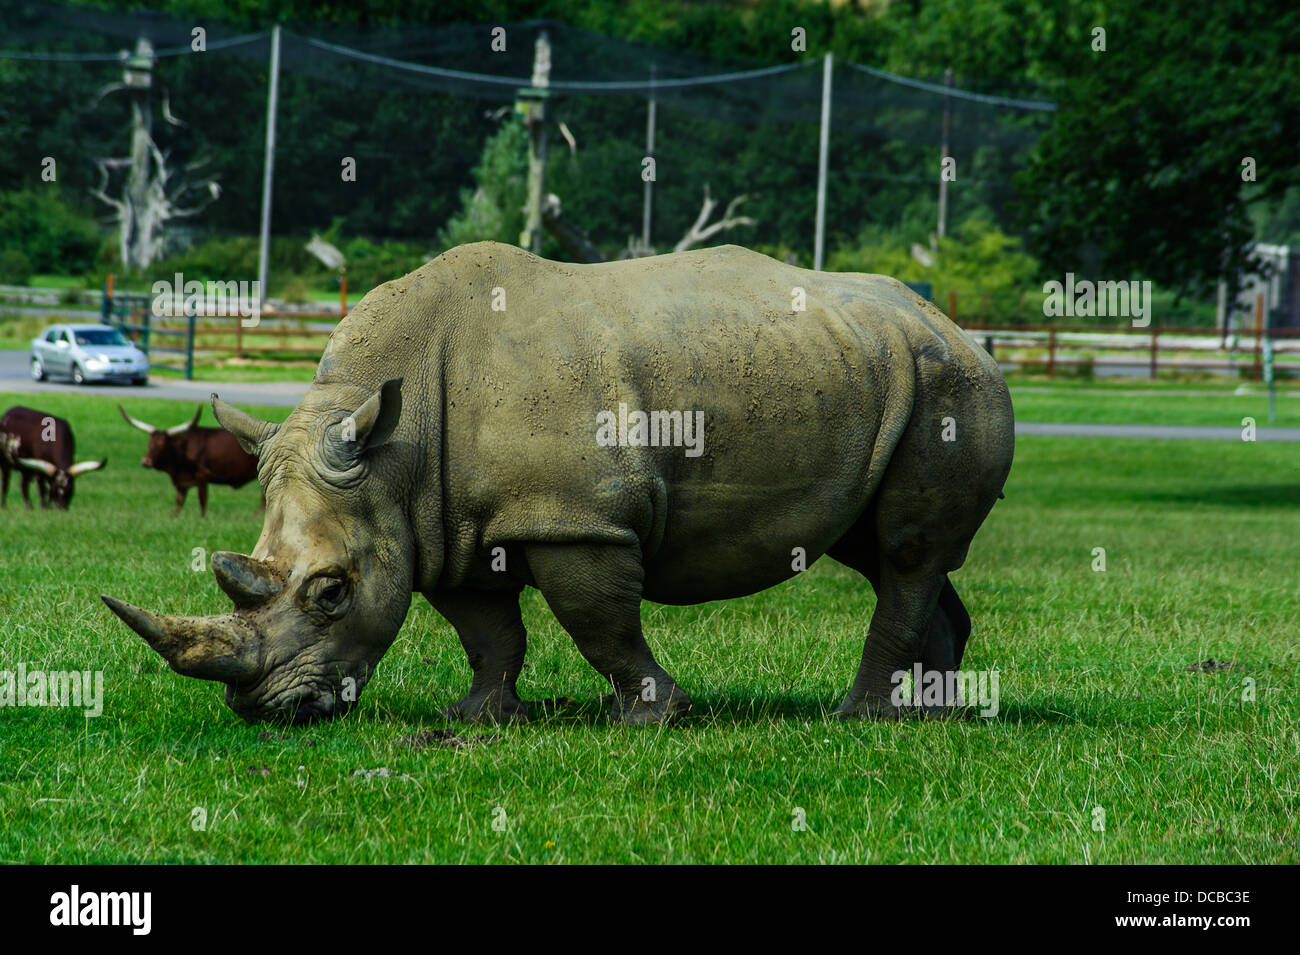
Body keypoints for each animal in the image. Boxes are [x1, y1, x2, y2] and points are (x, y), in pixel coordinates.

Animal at [121, 407, 261, 519]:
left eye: (162, 445)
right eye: (149, 444)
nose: (145, 461)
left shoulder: (202, 478)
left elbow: (202, 503)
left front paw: (202, 519)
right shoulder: (182, 484)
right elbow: (179, 503)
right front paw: (173, 518)